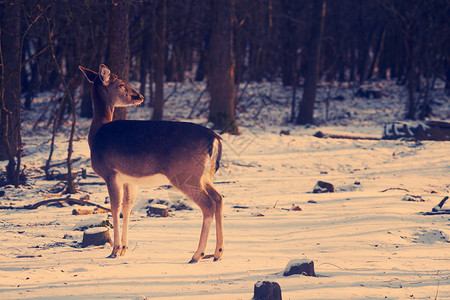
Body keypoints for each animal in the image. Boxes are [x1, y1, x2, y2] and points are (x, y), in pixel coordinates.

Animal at [80, 63, 224, 262]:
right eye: (121, 84)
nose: (139, 96)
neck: (96, 135)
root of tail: (216, 139)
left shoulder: (110, 173)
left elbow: (114, 208)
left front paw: (114, 250)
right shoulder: (130, 179)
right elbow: (127, 208)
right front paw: (124, 248)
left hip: (185, 175)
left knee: (209, 204)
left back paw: (197, 254)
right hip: (204, 176)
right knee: (219, 198)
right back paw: (218, 252)